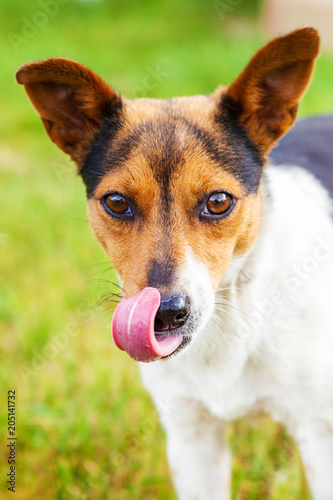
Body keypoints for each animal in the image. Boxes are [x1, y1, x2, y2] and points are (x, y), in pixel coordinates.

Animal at [16, 28, 332, 500]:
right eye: (116, 202)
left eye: (218, 202)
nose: (165, 314)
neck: (232, 320)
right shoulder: (191, 438)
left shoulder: (319, 435)